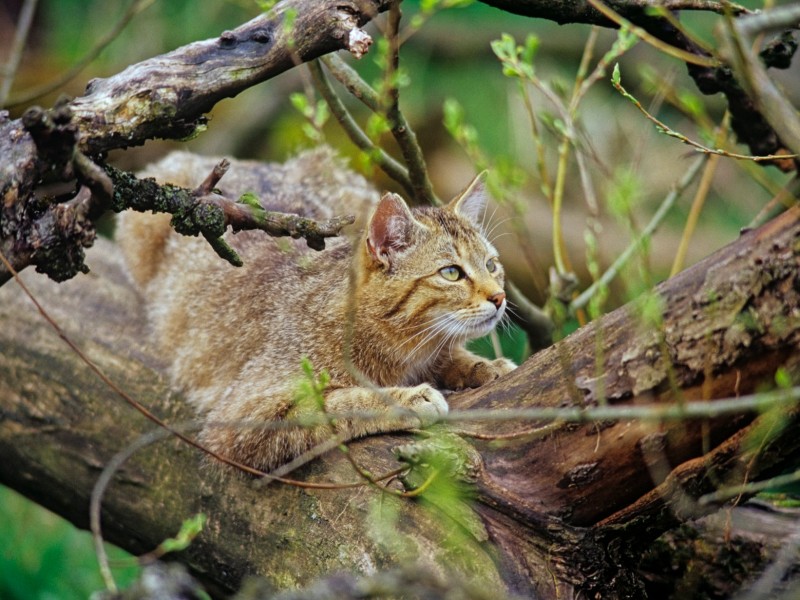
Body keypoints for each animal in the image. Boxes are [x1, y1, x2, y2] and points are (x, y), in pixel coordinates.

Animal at [117, 146, 520, 474]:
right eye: (451, 272)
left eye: (491, 265)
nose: (500, 297)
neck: (403, 348)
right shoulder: (239, 418)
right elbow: (337, 403)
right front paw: (406, 397)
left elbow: (454, 357)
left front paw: (484, 367)